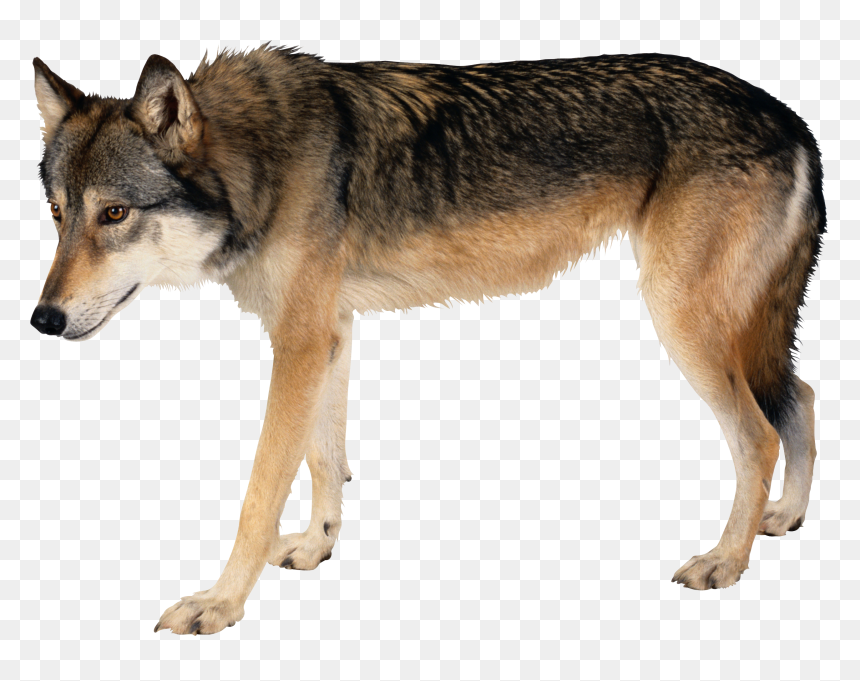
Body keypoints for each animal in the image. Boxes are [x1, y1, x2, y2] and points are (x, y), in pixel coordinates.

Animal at [30, 45, 824, 634]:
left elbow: (261, 492)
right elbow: (325, 459)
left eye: (115, 213)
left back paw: (726, 561)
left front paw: (220, 604)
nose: (42, 319)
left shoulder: (298, 340)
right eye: (59, 213)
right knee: (805, 395)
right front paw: (317, 545)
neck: (263, 159)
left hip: (680, 318)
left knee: (758, 434)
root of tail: (791, 117)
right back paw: (785, 517)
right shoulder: (328, 331)